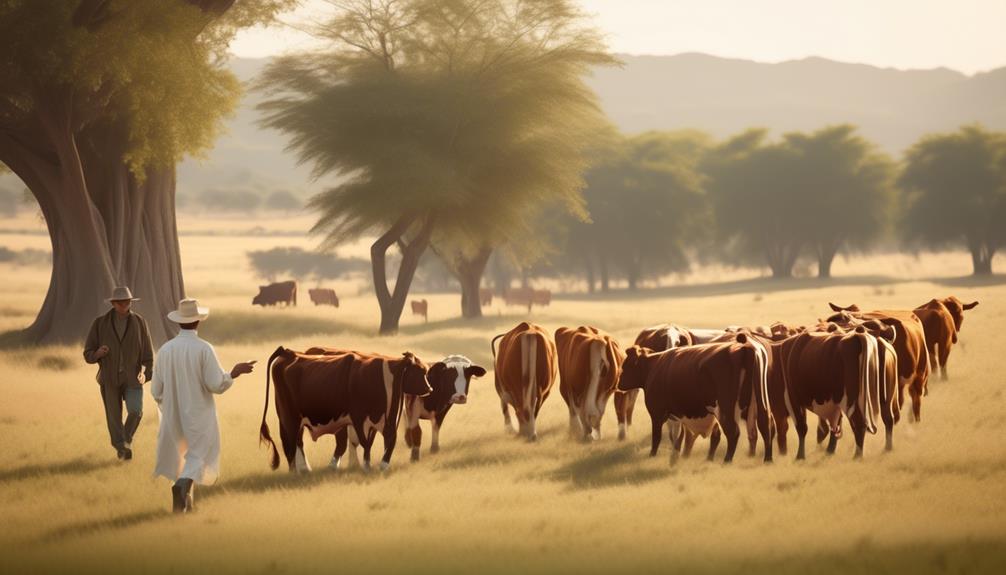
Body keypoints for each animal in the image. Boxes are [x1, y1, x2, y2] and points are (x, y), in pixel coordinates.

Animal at [257, 345, 430, 472]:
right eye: (420, 371)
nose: (430, 388)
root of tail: (288, 352)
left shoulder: (383, 421)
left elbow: (382, 441)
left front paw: (380, 466)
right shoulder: (359, 418)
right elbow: (365, 443)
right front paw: (367, 467)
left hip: (294, 417)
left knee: (297, 441)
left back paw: (306, 469)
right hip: (288, 416)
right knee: (290, 441)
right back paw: (296, 471)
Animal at [611, 333, 768, 464]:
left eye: (625, 365)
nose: (618, 382)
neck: (654, 366)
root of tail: (744, 348)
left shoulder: (657, 414)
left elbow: (657, 437)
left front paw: (652, 456)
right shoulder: (675, 415)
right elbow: (677, 437)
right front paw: (674, 458)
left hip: (725, 410)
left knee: (733, 432)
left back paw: (727, 461)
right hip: (759, 404)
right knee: (764, 426)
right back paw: (766, 459)